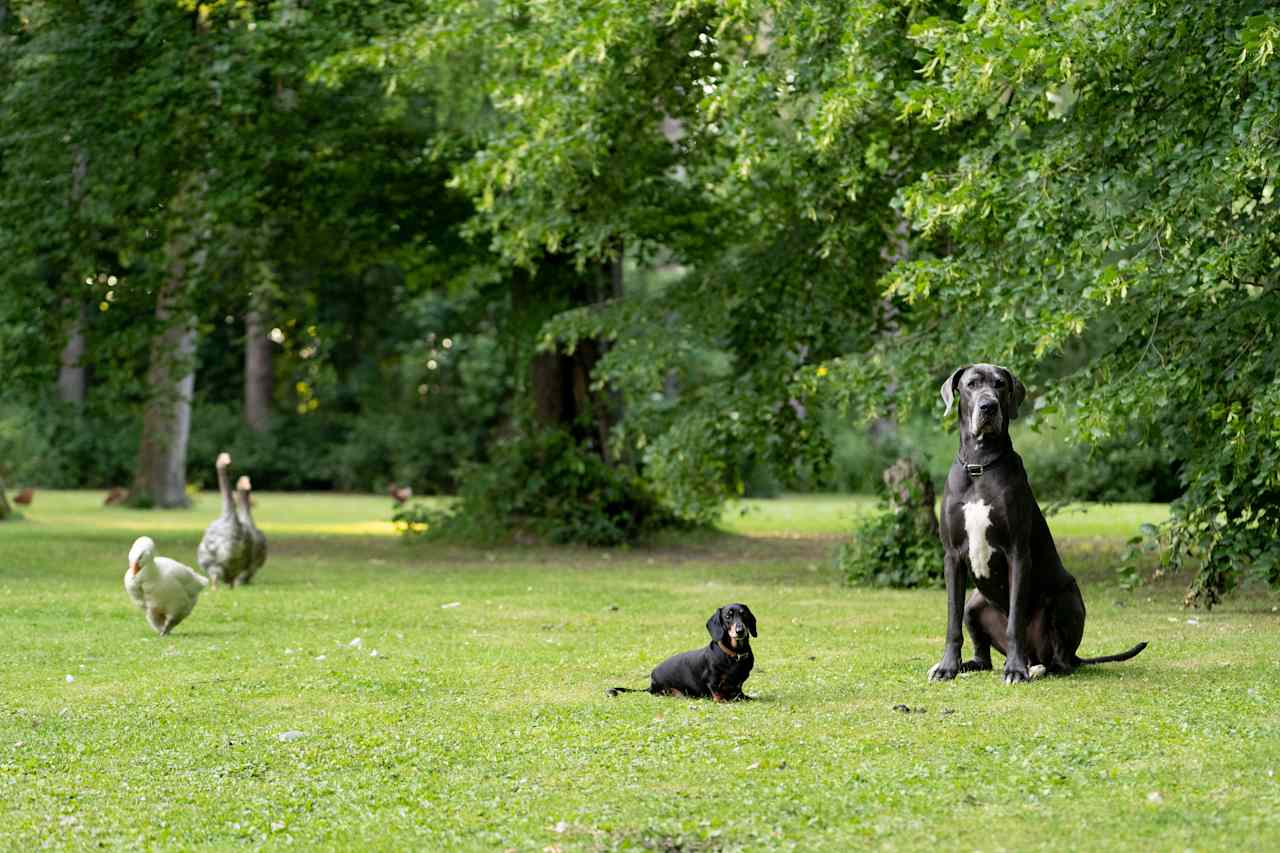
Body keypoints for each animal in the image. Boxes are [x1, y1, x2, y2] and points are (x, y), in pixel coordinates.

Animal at [606, 596, 752, 696]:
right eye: (728, 616)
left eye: (744, 614)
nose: (740, 631)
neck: (734, 654)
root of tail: (651, 684)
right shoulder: (712, 683)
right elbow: (719, 696)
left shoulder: (738, 687)